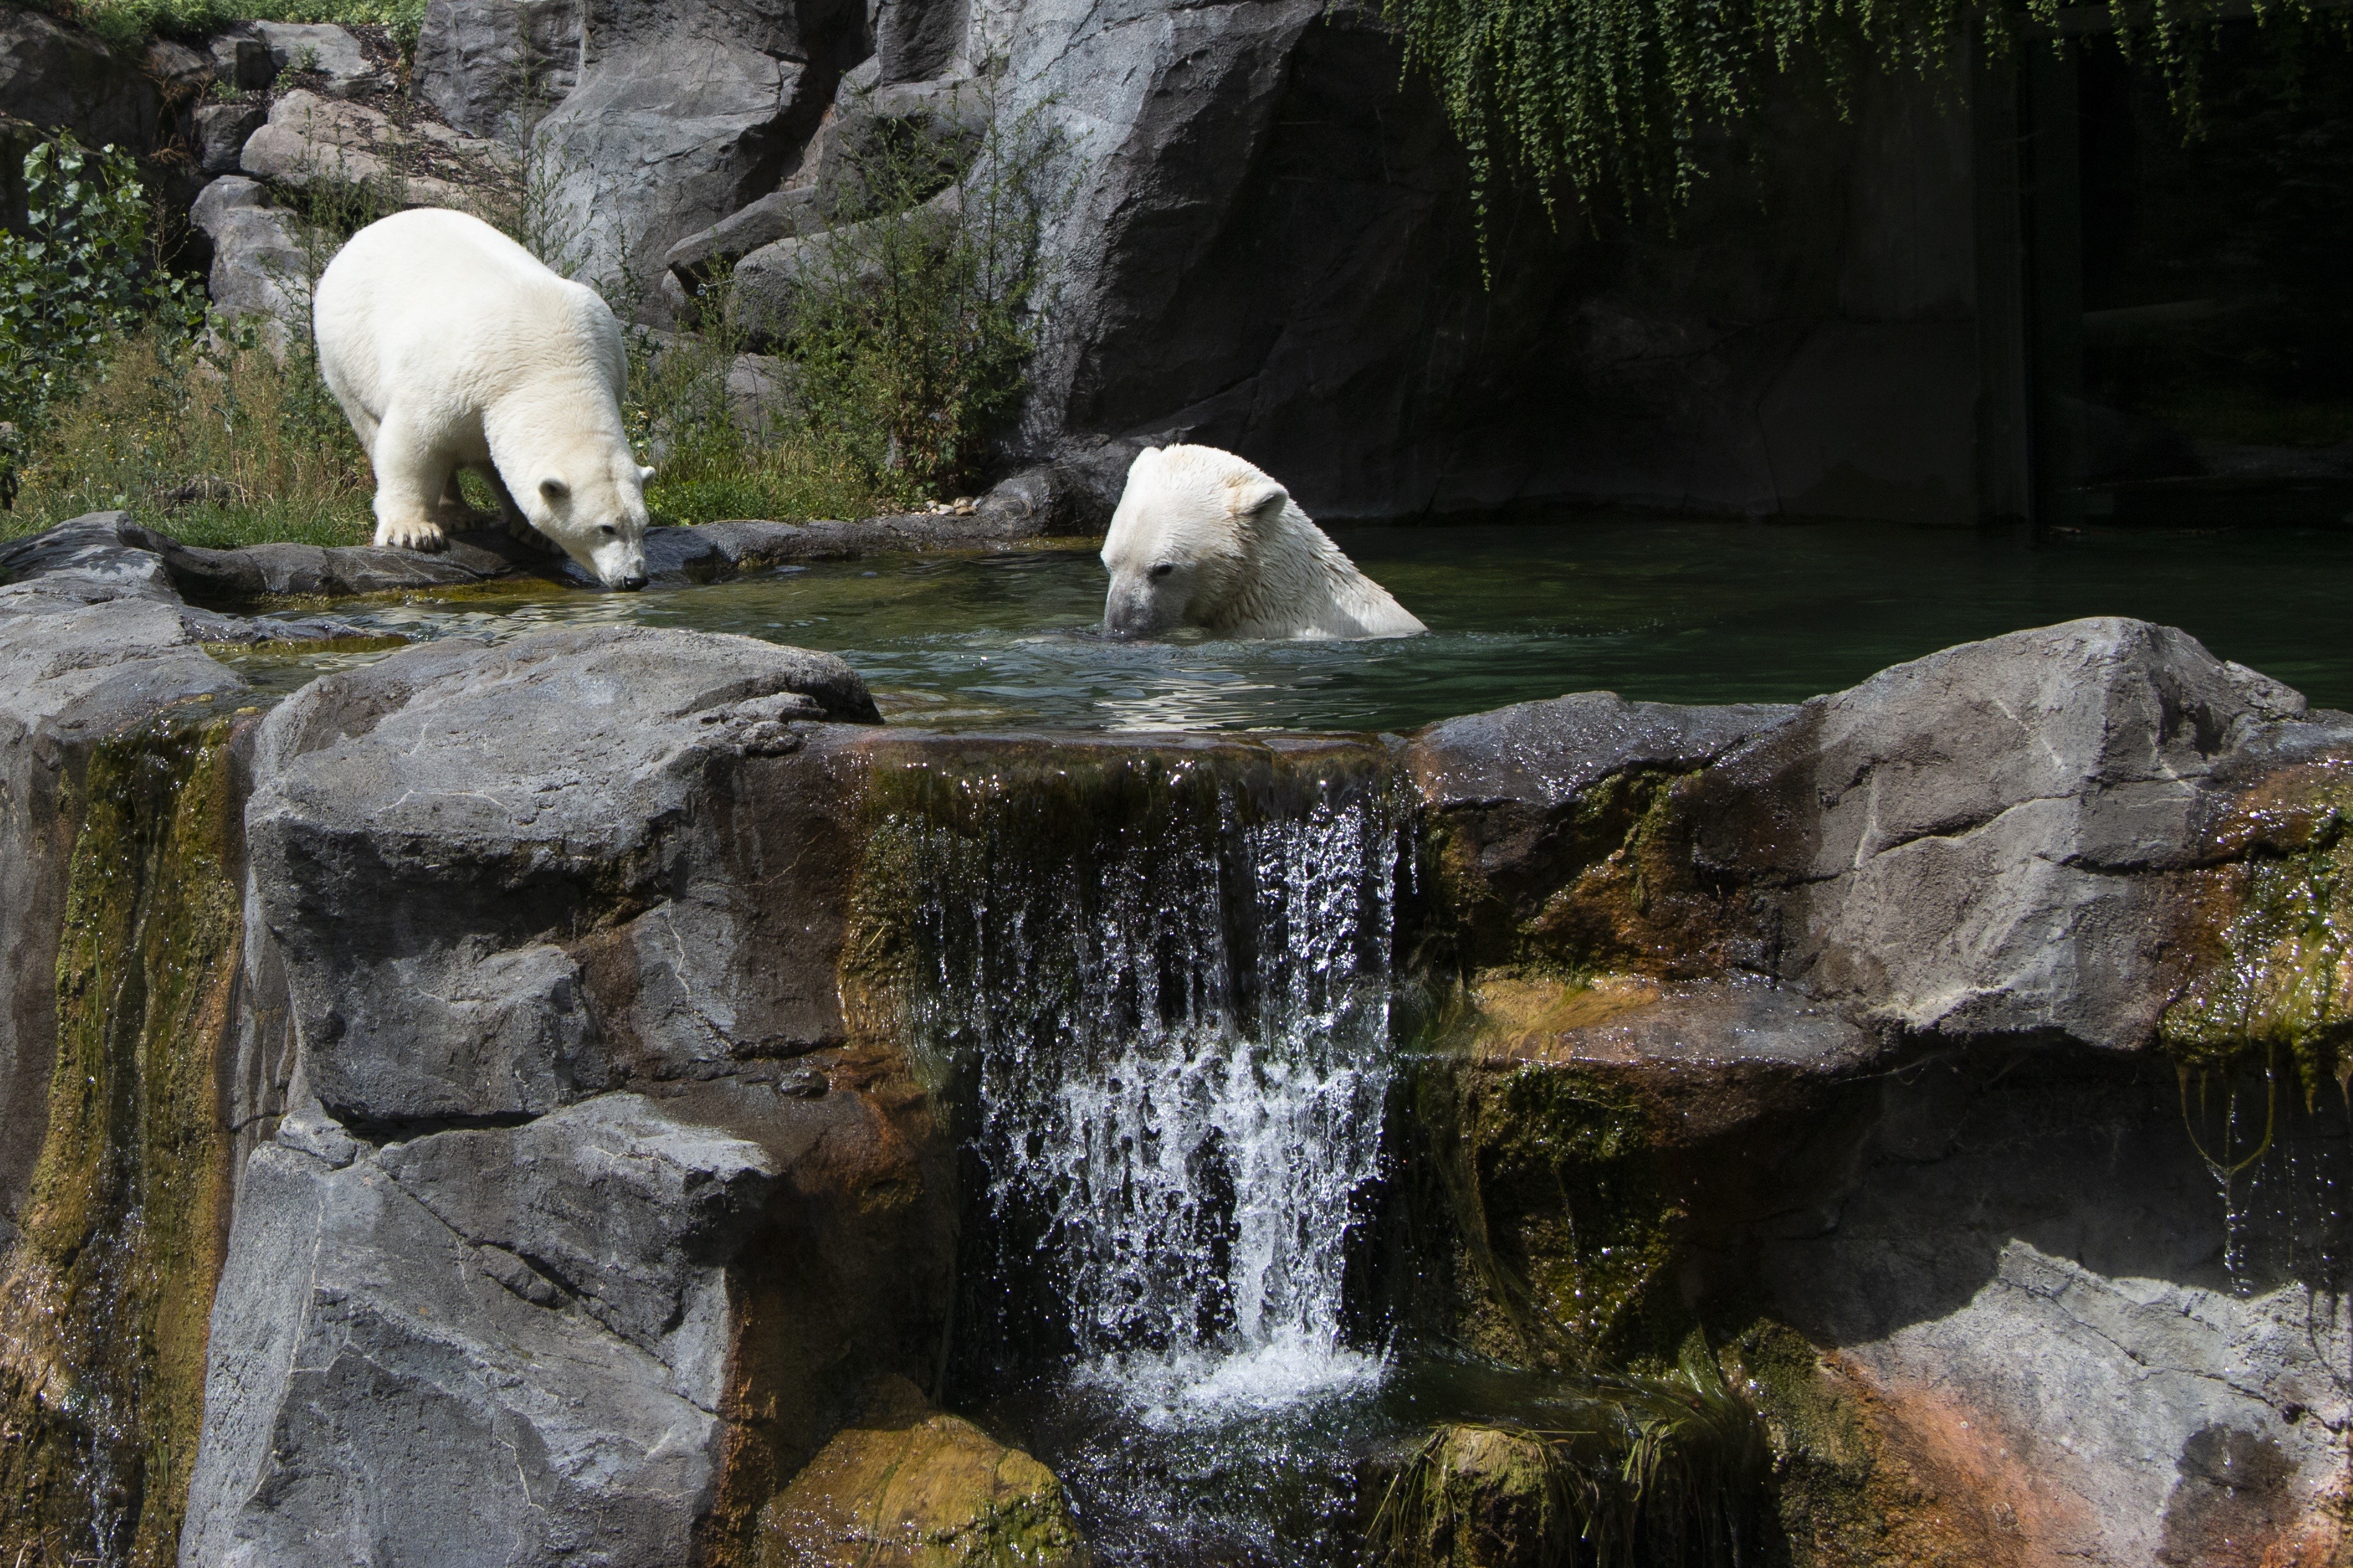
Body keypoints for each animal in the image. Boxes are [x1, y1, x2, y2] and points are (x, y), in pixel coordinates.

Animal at [313, 207, 653, 590]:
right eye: (606, 528)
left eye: (643, 525)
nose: (635, 580)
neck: (555, 361)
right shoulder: (455, 377)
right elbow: (412, 443)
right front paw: (413, 532)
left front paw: (535, 534)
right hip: (347, 351)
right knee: (369, 421)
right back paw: (453, 515)